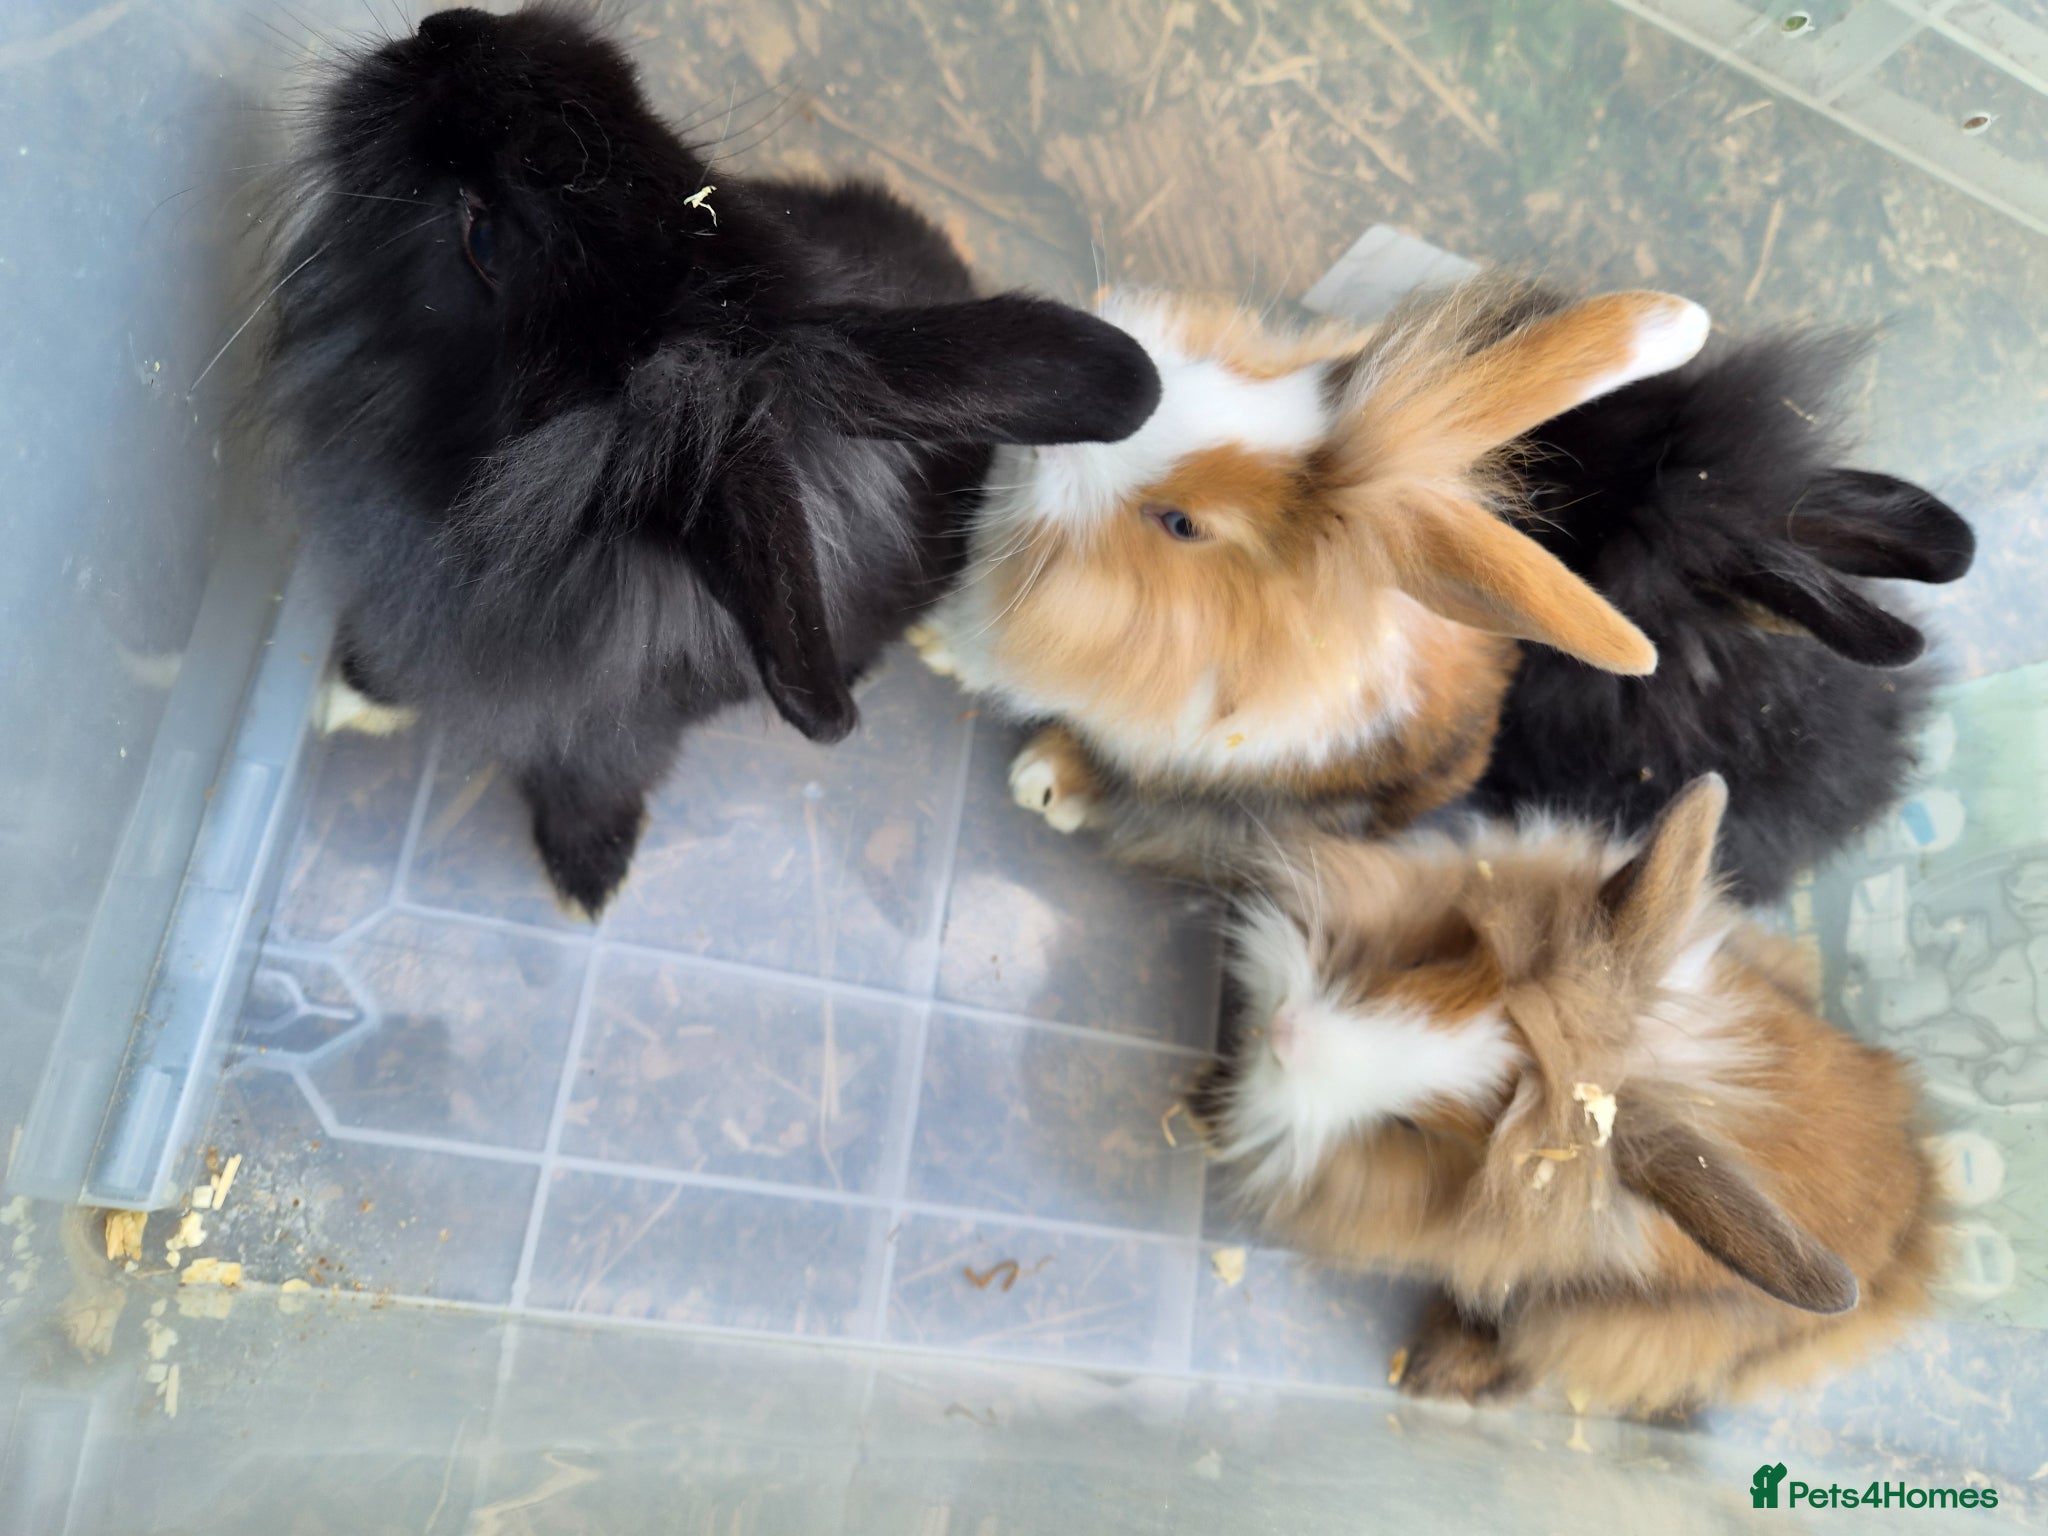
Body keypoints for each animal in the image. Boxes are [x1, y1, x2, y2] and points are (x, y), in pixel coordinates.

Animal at [256, 4, 1161, 916]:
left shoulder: (611, 735)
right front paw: (348, 694)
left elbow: (588, 787)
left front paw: (590, 875)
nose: (442, 28)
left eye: (481, 235)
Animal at [910, 275, 1711, 883]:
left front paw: (933, 652)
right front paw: (930, 641)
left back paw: (1045, 785)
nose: (1067, 432)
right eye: (1248, 377)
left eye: (1183, 524)